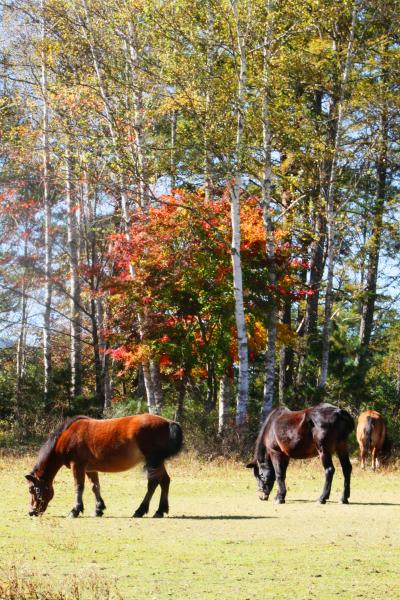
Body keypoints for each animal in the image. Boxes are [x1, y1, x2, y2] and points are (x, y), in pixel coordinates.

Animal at [27, 414, 184, 516]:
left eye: (33, 490)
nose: (31, 512)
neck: (67, 435)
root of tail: (169, 423)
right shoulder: (90, 469)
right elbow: (95, 487)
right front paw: (98, 509)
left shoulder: (77, 466)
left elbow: (79, 486)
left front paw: (75, 510)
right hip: (158, 462)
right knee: (164, 481)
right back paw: (160, 510)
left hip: (153, 461)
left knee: (153, 483)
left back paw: (140, 510)